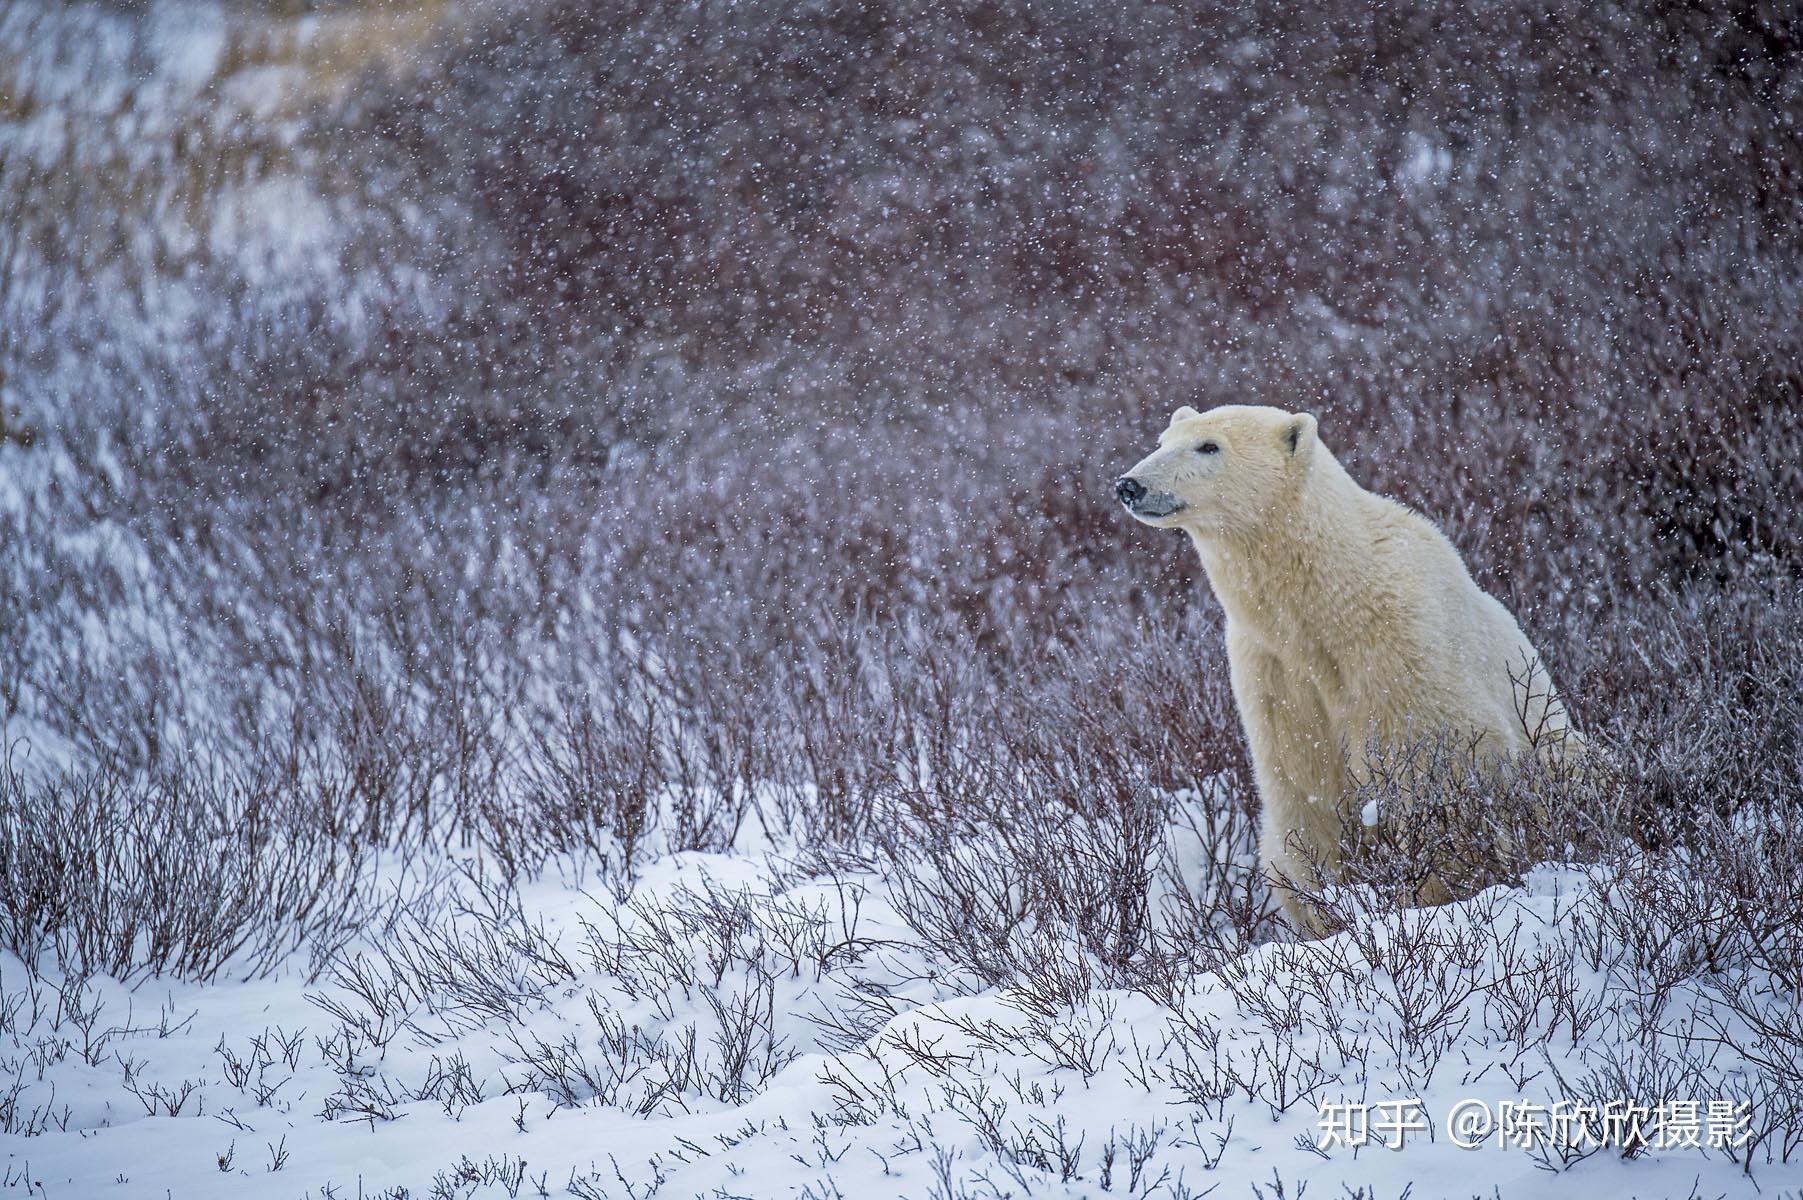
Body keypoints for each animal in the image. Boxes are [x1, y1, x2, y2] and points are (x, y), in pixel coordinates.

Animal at [1110, 407, 1579, 929]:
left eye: (1208, 446)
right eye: (1164, 439)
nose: (1130, 484)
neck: (1330, 603)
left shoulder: (1399, 648)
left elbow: (1434, 772)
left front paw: (1428, 892)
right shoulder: (1273, 670)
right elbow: (1306, 784)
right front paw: (1333, 905)